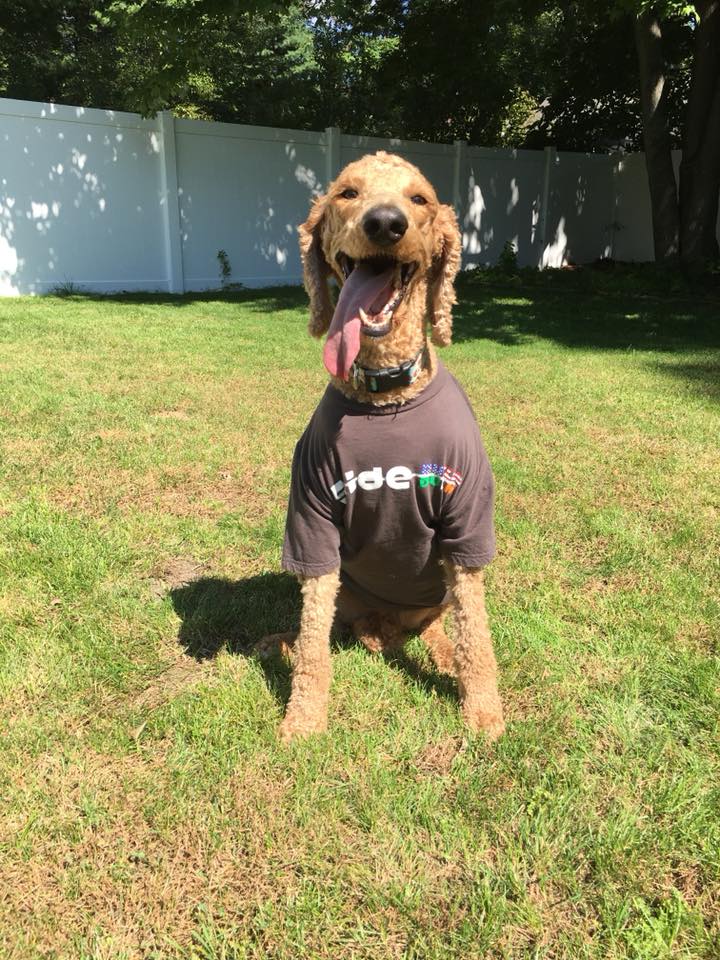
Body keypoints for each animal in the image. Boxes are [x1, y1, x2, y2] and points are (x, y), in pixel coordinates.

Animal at [262, 154, 500, 748]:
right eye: (347, 193)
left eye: (419, 200)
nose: (386, 223)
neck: (386, 393)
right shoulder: (312, 516)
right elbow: (313, 642)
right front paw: (304, 718)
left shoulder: (466, 522)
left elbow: (477, 633)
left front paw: (484, 713)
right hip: (349, 590)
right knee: (336, 627)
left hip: (437, 592)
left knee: (440, 627)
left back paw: (438, 654)